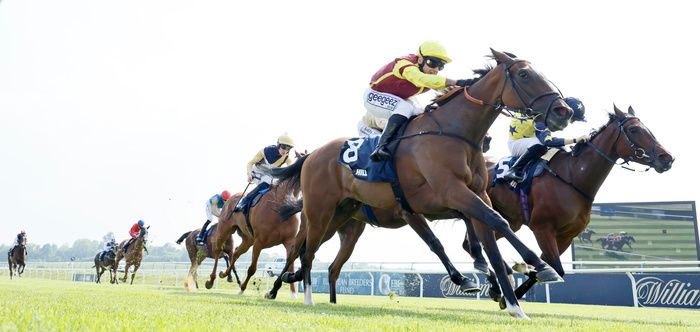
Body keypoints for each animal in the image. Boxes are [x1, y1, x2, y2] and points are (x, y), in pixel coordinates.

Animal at [268, 49, 576, 320]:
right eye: (524, 74)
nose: (563, 111)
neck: (454, 133)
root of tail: (312, 155)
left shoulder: (471, 196)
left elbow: (490, 243)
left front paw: (513, 304)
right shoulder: (451, 193)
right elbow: (496, 222)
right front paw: (541, 265)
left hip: (342, 215)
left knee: (316, 254)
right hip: (319, 212)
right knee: (306, 251)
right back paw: (306, 298)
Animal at [470, 105, 672, 308]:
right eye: (634, 129)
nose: (667, 158)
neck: (572, 177)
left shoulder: (567, 235)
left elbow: (551, 268)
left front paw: (513, 289)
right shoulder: (542, 227)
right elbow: (555, 268)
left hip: (508, 221)